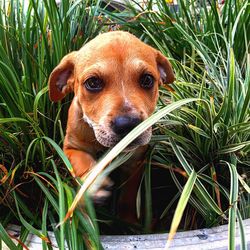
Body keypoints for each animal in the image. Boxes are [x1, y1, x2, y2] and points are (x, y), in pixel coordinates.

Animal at [48, 30, 174, 221]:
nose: (128, 125)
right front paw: (95, 182)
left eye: (147, 79)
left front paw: (128, 218)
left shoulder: (136, 161)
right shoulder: (70, 148)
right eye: (93, 83)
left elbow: (130, 193)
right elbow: (82, 160)